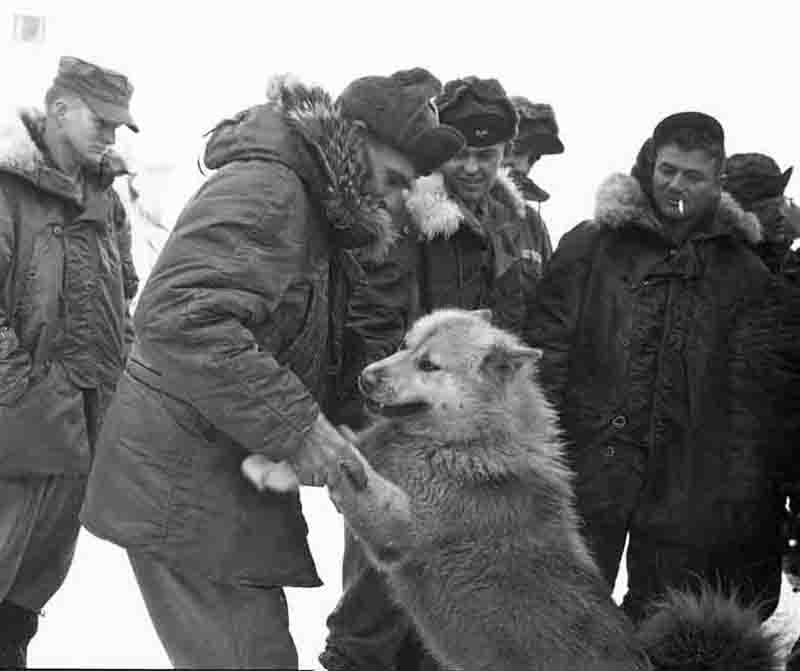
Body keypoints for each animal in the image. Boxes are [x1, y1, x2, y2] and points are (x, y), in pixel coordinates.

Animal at [322, 310, 784, 671]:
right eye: (404, 346)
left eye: (430, 366)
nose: (364, 377)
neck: (471, 444)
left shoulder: (398, 530)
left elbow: (362, 482)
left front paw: (335, 452)